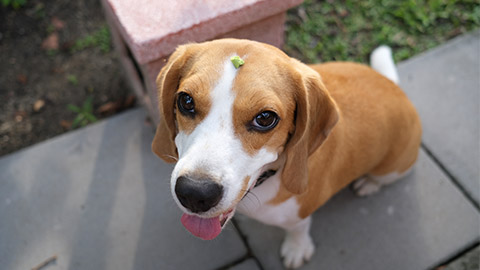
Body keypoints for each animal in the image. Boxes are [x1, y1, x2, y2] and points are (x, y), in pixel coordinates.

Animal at [152, 39, 422, 268]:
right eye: (186, 101)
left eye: (265, 118)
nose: (194, 193)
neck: (267, 179)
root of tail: (395, 87)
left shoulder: (299, 213)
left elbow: (298, 229)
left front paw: (296, 248)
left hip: (393, 168)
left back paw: (369, 183)